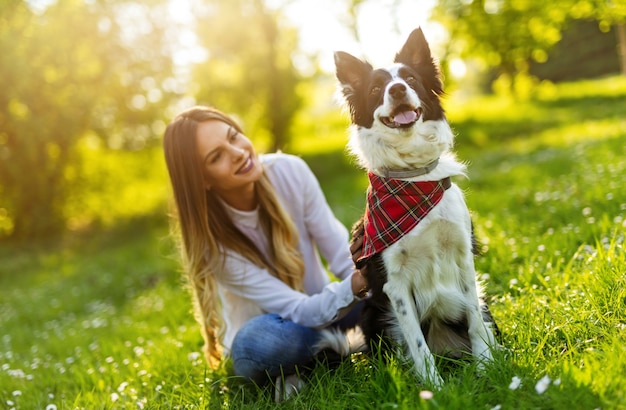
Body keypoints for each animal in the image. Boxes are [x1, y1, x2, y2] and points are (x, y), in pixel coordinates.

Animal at [334, 28, 500, 388]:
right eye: (375, 89)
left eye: (409, 78)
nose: (397, 90)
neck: (412, 180)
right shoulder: (393, 283)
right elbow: (417, 343)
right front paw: (434, 388)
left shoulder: (463, 259)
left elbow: (475, 322)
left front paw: (487, 368)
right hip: (371, 313)